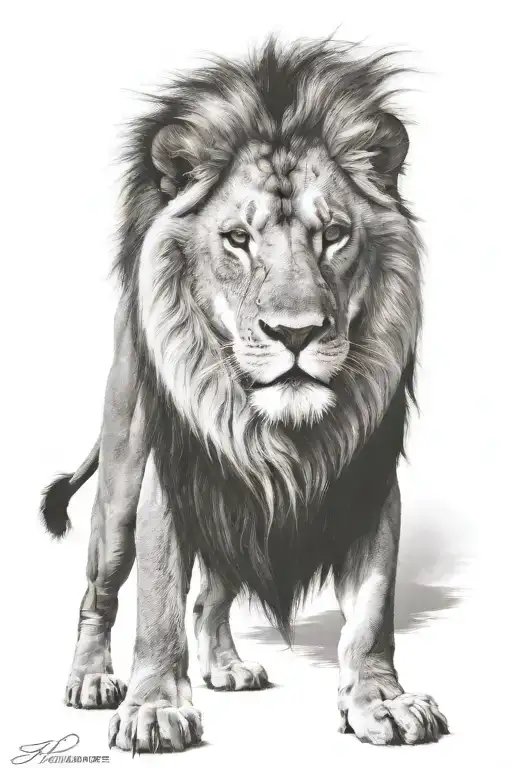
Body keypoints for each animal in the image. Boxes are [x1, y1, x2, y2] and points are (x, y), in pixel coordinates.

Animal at [41, 37, 449, 750]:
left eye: (333, 234)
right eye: (238, 239)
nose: (297, 333)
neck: (280, 430)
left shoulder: (369, 485)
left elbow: (372, 613)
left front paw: (382, 700)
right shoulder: (169, 484)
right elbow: (157, 605)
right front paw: (153, 708)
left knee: (213, 594)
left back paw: (226, 667)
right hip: (120, 489)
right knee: (101, 591)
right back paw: (90, 678)